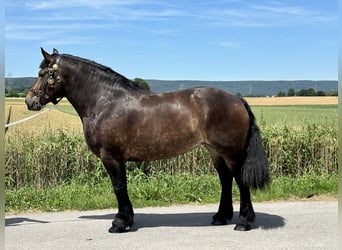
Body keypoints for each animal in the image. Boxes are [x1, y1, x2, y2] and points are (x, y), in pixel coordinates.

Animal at [25, 48, 268, 232]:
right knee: (225, 179)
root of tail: (237, 99)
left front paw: (119, 223)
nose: (29, 101)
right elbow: (121, 187)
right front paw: (127, 220)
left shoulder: (111, 156)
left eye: (43, 73)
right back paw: (220, 217)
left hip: (231, 153)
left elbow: (119, 186)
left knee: (240, 181)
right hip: (215, 151)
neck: (105, 101)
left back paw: (243, 222)